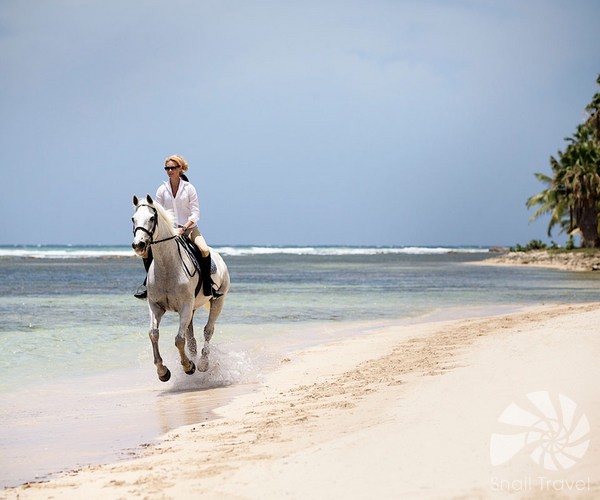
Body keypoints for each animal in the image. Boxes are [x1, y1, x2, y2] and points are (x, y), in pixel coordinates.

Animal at [131, 194, 230, 382]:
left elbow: (178, 340)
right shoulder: (155, 306)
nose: (138, 245)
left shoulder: (185, 306)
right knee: (191, 338)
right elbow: (153, 334)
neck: (167, 266)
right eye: (133, 219)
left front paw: (188, 366)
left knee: (208, 330)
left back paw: (203, 364)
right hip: (192, 309)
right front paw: (163, 372)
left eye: (152, 218)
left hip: (218, 301)